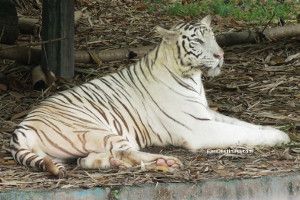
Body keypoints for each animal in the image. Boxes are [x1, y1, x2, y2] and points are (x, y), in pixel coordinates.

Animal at [10, 16, 290, 178]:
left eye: (212, 37)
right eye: (198, 42)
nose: (220, 55)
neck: (193, 77)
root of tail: (20, 129)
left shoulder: (206, 113)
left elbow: (244, 124)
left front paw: (276, 130)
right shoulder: (198, 128)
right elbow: (240, 133)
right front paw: (281, 137)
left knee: (88, 162)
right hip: (97, 129)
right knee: (127, 153)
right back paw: (166, 162)